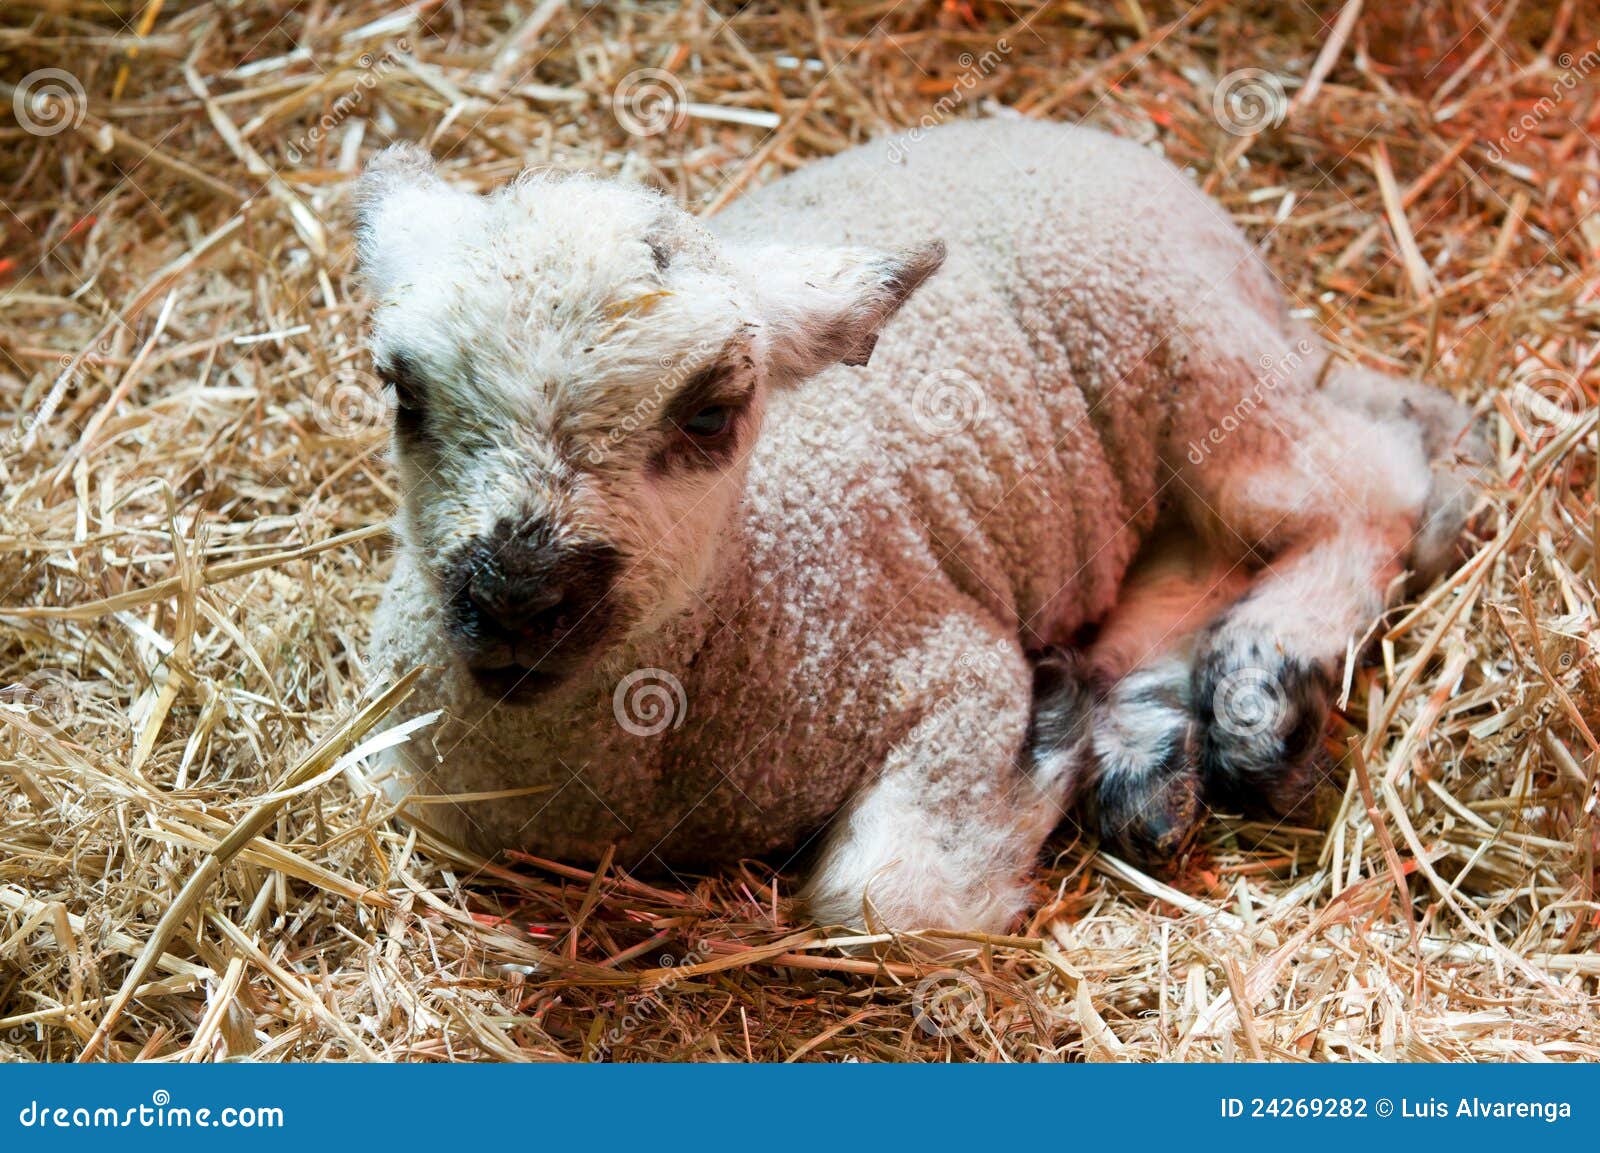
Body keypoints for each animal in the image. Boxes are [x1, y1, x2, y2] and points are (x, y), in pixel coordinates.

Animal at [356, 119, 1483, 937]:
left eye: (712, 411)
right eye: (403, 390)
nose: (516, 598)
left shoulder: (950, 672)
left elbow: (883, 898)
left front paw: (1050, 732)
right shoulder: (399, 771)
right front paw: (1087, 724)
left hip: (1203, 367)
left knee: (1371, 482)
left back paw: (1260, 688)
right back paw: (1144, 747)